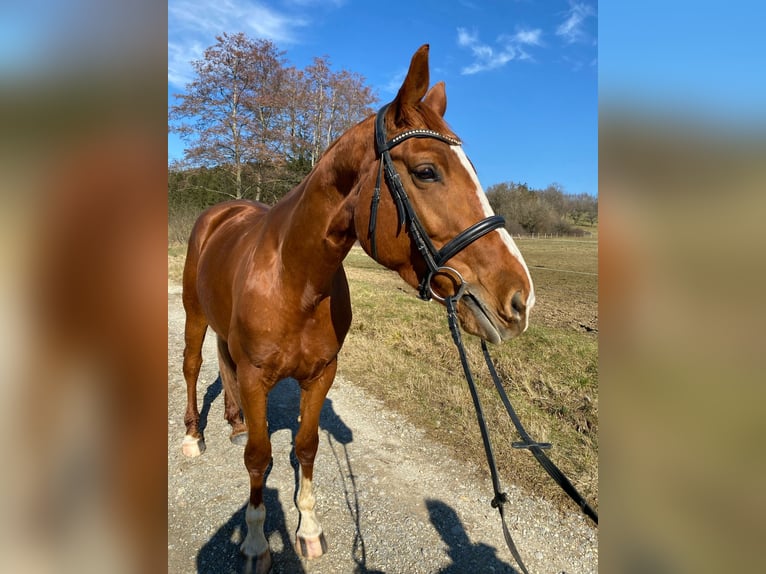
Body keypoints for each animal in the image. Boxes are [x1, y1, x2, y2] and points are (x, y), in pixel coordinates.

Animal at [183, 46, 536, 574]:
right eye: (427, 171)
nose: (520, 298)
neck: (295, 279)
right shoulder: (256, 376)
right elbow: (260, 457)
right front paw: (256, 541)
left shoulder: (321, 374)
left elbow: (306, 448)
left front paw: (308, 530)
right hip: (194, 315)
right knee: (192, 367)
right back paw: (193, 436)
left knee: (223, 367)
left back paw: (235, 421)